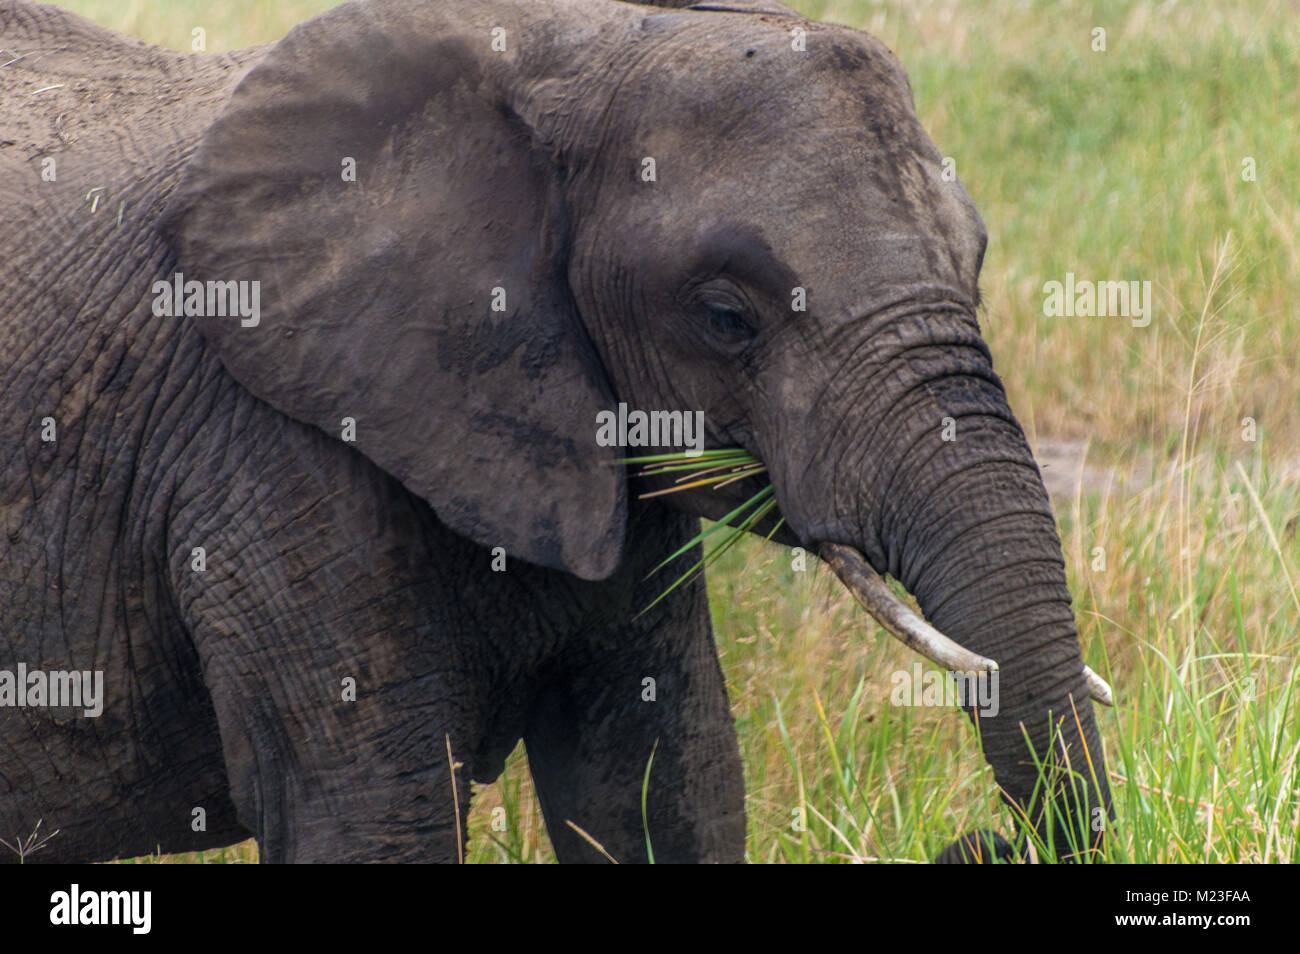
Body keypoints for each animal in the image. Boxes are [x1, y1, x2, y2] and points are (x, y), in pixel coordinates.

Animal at [2, 0, 1107, 868]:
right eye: (726, 317)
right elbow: (370, 824)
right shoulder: (267, 453)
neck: (575, 46)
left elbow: (666, 790)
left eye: (976, 258)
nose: (975, 836)